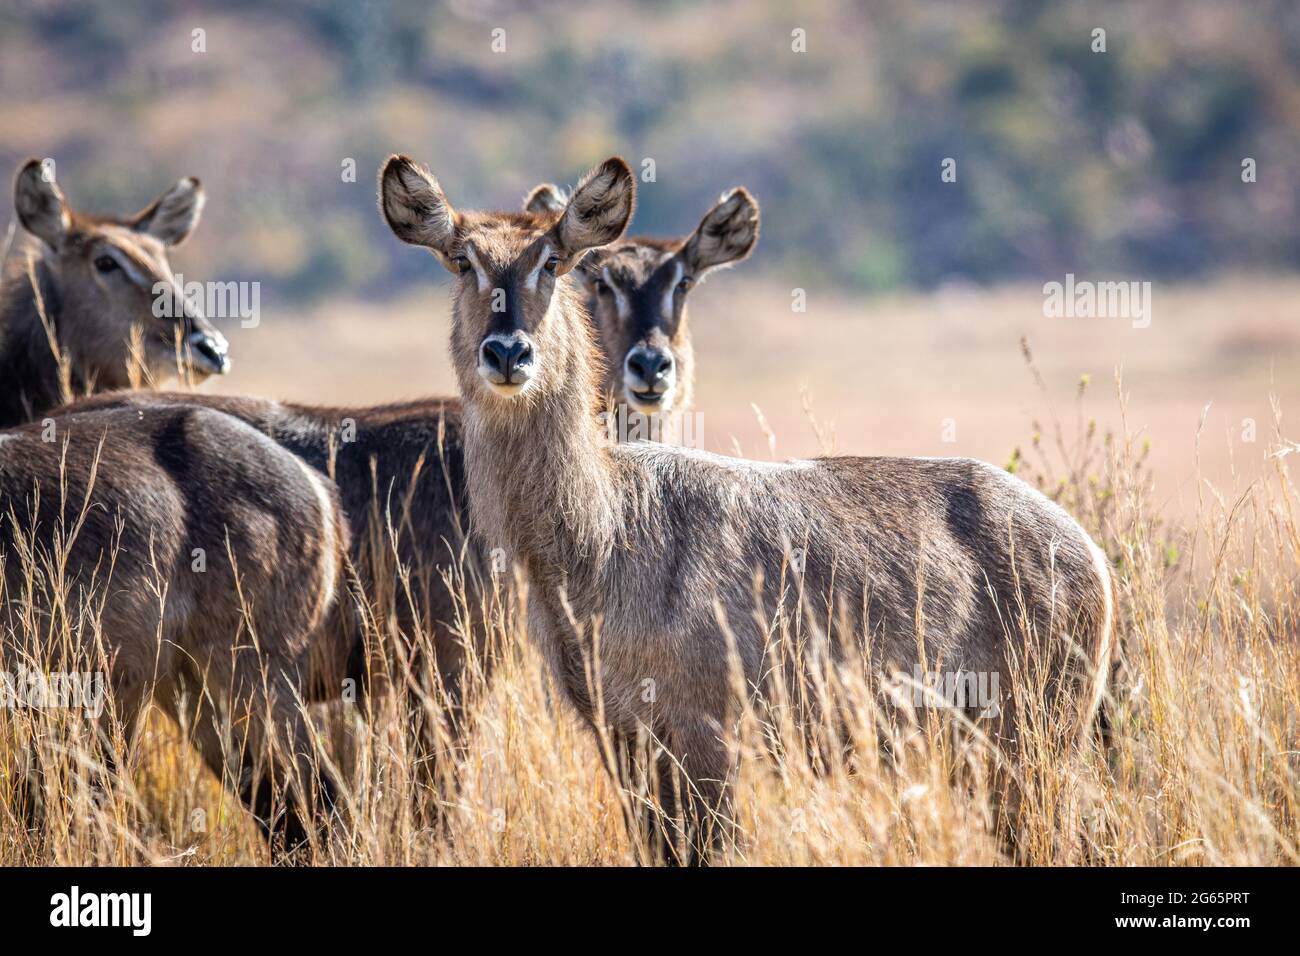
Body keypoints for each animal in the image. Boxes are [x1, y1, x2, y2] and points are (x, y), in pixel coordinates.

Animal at [379, 153, 1118, 863]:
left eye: (553, 262)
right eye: (462, 260)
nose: (508, 352)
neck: (600, 535)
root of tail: (1092, 554)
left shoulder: (710, 736)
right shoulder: (620, 737)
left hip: (1033, 741)